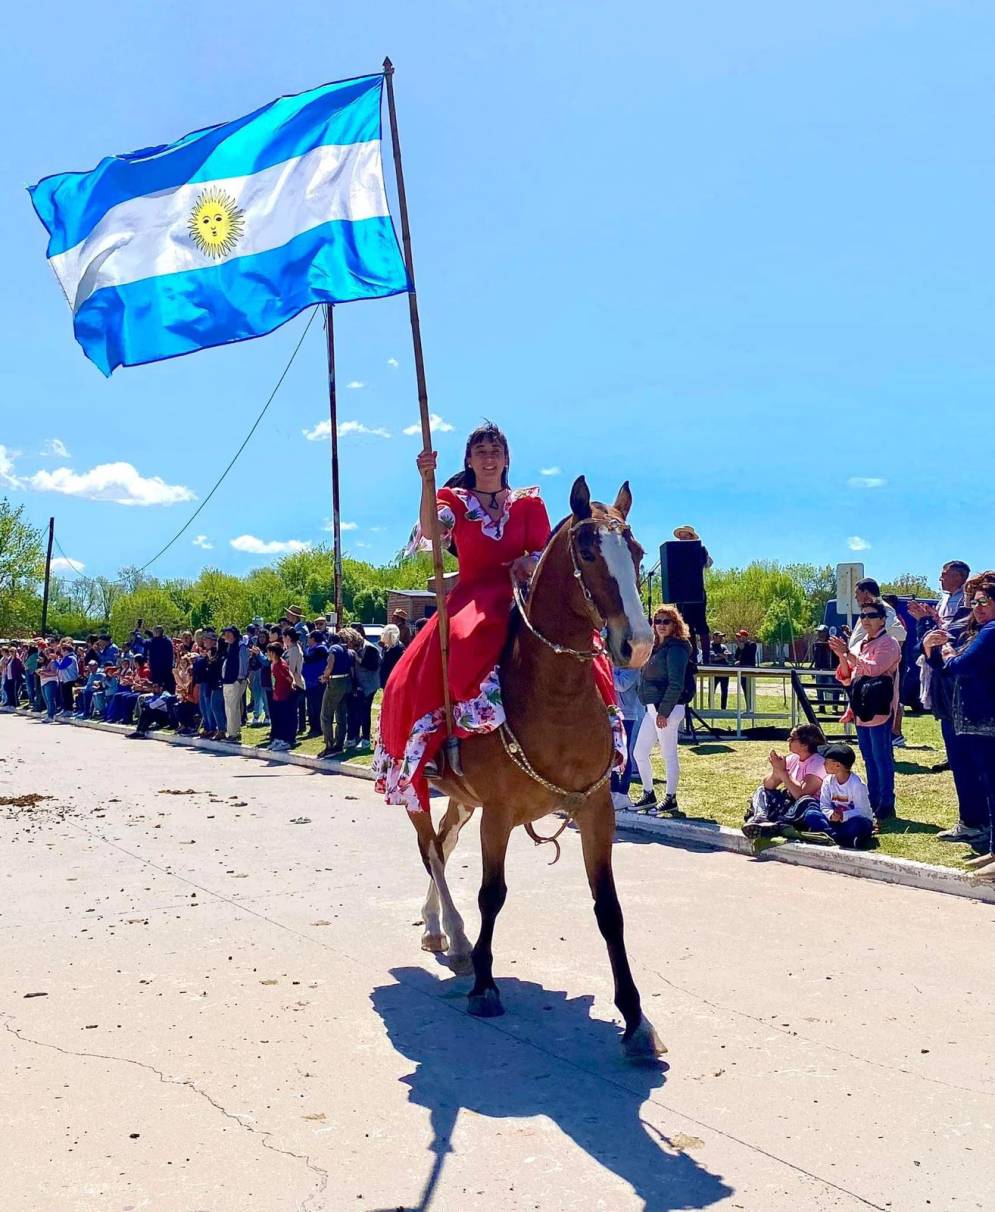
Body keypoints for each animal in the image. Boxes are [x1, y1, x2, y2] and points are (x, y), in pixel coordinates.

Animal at [399, 477, 664, 1056]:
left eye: (635, 552)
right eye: (587, 551)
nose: (637, 644)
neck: (555, 695)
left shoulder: (596, 811)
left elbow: (609, 910)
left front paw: (636, 1019)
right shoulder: (498, 814)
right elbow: (491, 896)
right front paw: (484, 985)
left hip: (461, 799)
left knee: (444, 844)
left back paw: (439, 929)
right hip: (413, 789)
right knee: (430, 850)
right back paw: (454, 936)